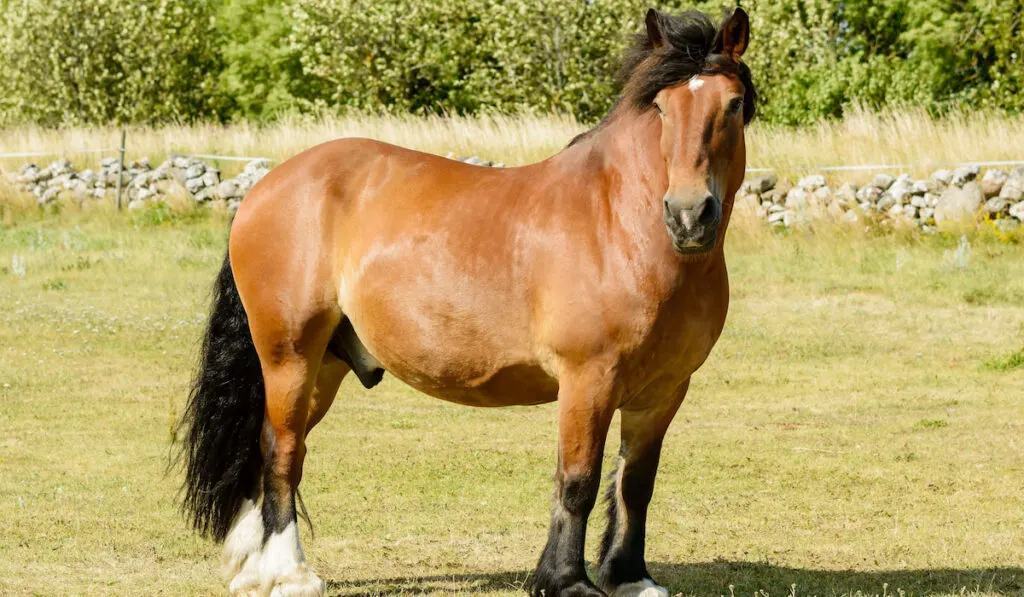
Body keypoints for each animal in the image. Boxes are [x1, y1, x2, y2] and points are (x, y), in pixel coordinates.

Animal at [180, 8, 753, 597]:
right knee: (283, 450)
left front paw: (630, 578)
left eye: (733, 104)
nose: (689, 215)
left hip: (326, 363)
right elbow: (578, 481)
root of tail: (265, 187)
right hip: (289, 354)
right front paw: (565, 581)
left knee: (266, 445)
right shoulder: (588, 381)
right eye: (662, 108)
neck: (619, 222)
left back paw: (254, 568)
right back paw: (289, 572)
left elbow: (636, 482)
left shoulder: (663, 391)